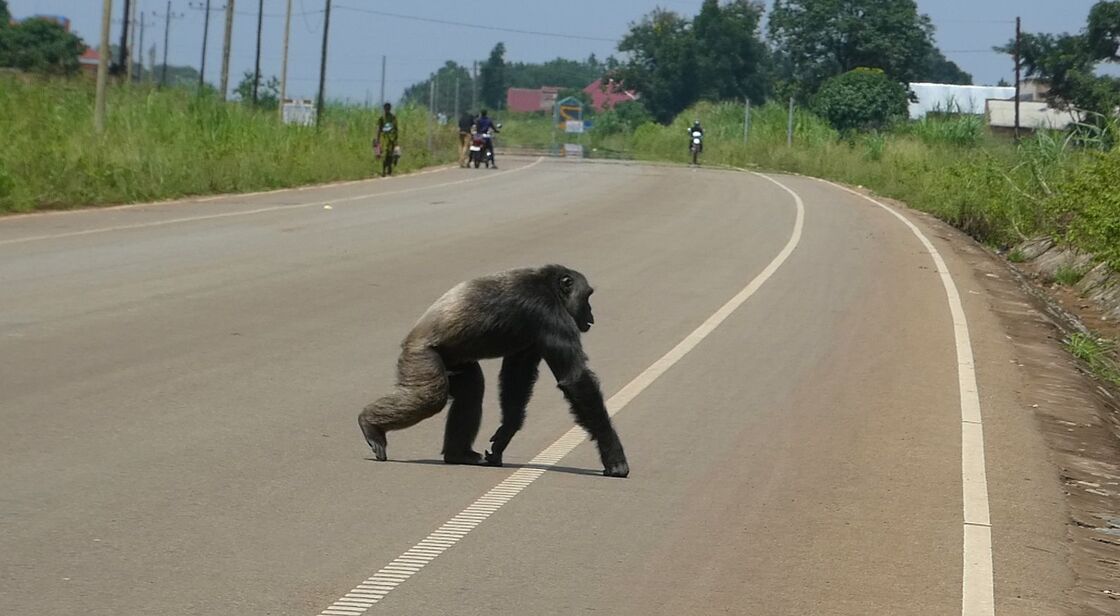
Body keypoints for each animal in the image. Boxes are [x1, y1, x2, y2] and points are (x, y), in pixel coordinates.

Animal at [358, 265, 629, 478]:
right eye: (587, 296)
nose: (591, 313)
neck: (549, 288)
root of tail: (409, 338)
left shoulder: (532, 340)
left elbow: (517, 376)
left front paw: (503, 436)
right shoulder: (550, 315)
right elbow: (575, 380)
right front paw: (614, 457)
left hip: (455, 361)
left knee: (471, 391)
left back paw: (459, 454)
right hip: (421, 356)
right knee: (429, 397)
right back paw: (371, 425)